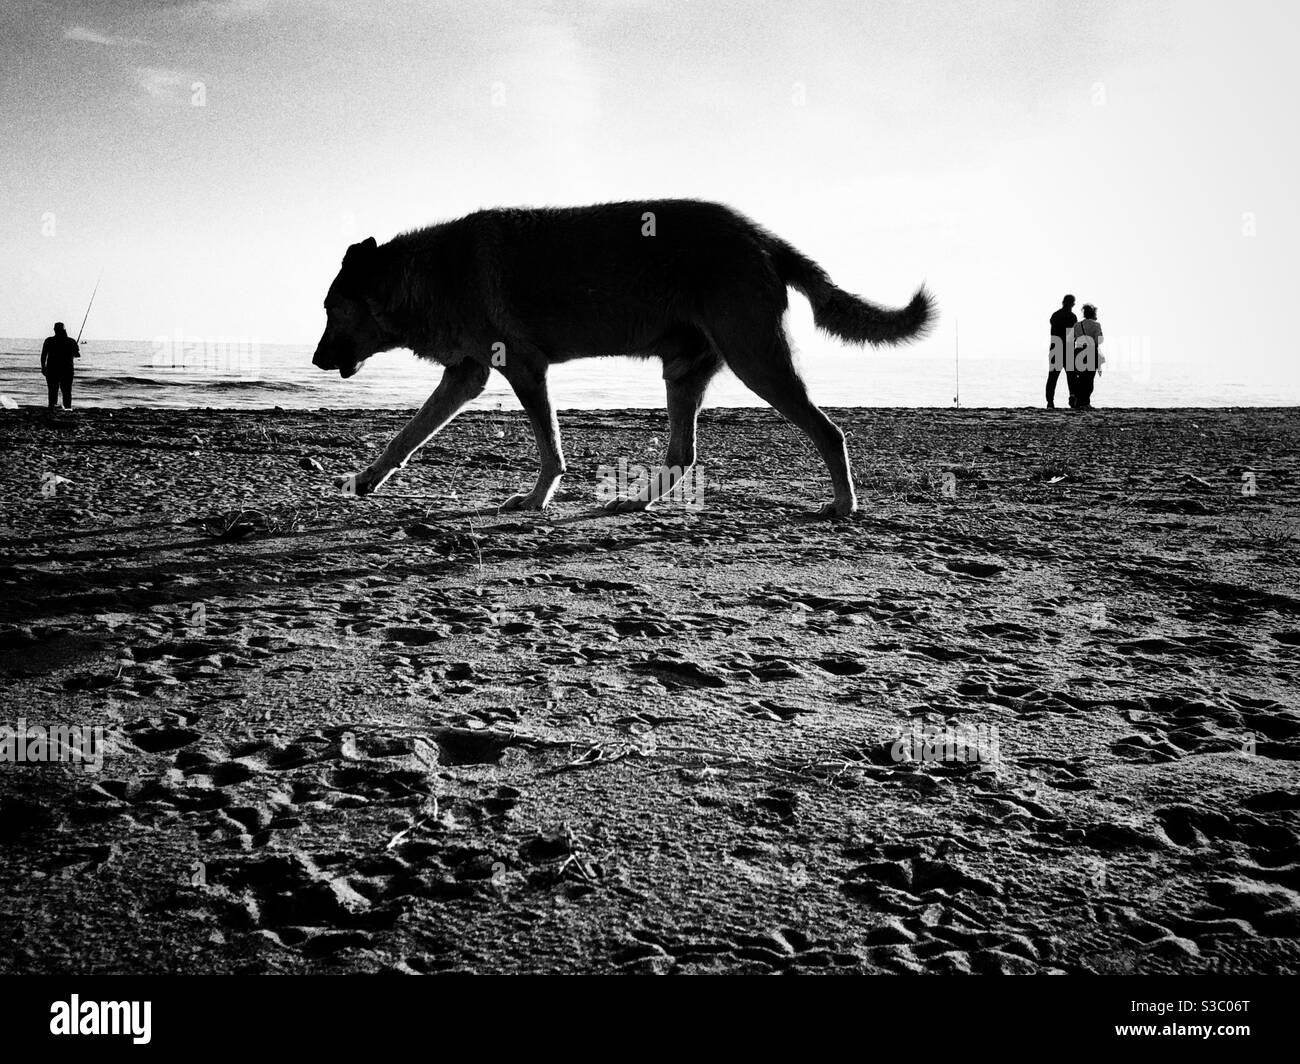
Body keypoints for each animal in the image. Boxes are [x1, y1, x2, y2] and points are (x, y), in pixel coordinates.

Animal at [309, 201, 930, 515]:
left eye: (332, 309)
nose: (315, 360)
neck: (425, 276)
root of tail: (761, 237)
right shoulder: (467, 375)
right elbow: (406, 436)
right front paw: (366, 480)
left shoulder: (522, 370)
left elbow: (550, 450)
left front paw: (536, 499)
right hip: (684, 373)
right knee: (683, 454)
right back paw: (631, 503)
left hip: (758, 363)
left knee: (830, 432)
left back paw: (843, 505)